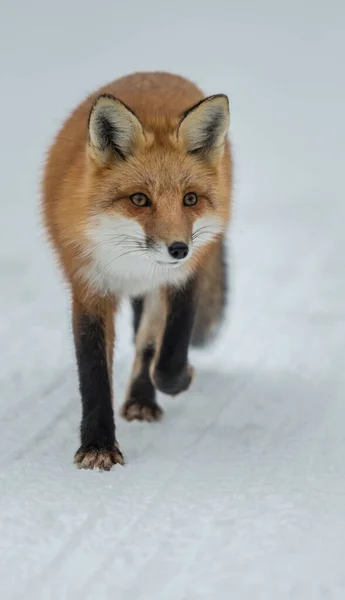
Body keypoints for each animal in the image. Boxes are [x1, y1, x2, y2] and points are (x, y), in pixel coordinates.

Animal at [43, 72, 231, 472]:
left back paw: (143, 398)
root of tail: (156, 73)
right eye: (140, 200)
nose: (179, 248)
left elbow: (168, 355)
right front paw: (98, 445)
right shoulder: (89, 288)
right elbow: (94, 374)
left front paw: (178, 380)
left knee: (148, 344)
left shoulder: (182, 279)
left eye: (190, 199)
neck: (132, 265)